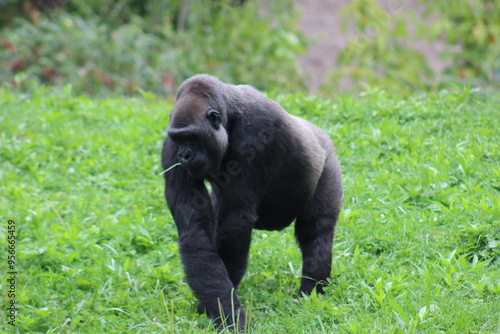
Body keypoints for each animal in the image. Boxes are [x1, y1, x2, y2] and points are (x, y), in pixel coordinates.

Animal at [162, 74, 342, 330]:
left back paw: (310, 292)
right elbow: (195, 228)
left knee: (316, 232)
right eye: (179, 138)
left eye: (192, 137)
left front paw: (227, 313)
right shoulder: (169, 147)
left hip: (328, 160)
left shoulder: (258, 130)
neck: (229, 113)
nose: (184, 155)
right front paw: (220, 306)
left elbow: (235, 221)